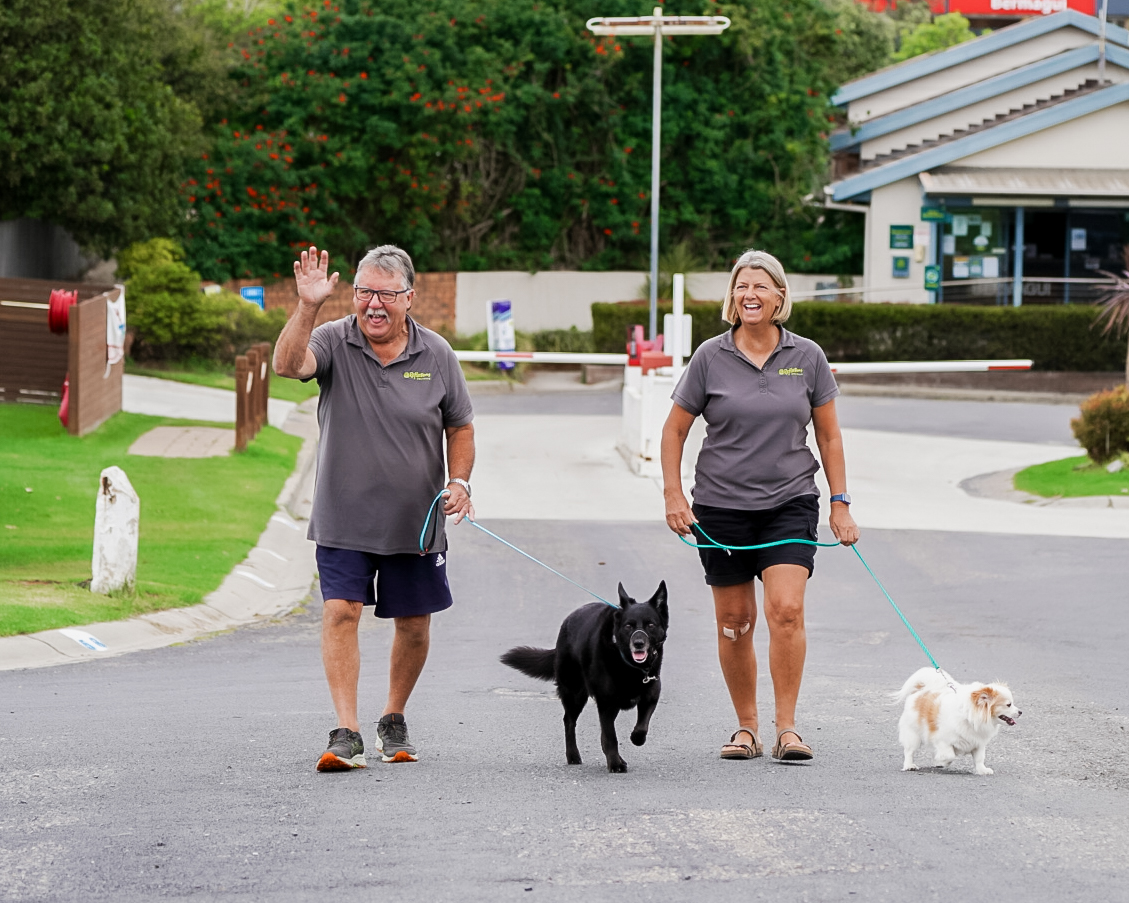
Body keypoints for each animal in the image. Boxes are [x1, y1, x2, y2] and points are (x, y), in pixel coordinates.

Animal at [499, 582, 663, 772]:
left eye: (650, 625)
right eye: (628, 626)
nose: (638, 644)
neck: (628, 664)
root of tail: (567, 622)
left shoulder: (650, 695)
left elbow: (641, 726)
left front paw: (636, 739)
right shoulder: (606, 703)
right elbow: (610, 736)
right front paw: (615, 764)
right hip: (574, 694)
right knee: (569, 722)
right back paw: (573, 756)